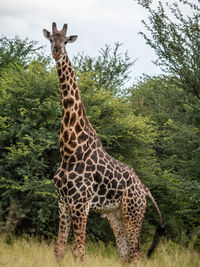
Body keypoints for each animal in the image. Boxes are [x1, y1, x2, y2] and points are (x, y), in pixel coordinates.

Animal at [43, 23, 165, 266]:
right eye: (51, 38)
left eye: (66, 40)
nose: (57, 51)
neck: (69, 150)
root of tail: (145, 189)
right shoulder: (63, 203)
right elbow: (59, 250)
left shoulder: (81, 203)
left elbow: (78, 251)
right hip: (115, 215)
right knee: (125, 255)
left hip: (133, 213)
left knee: (136, 254)